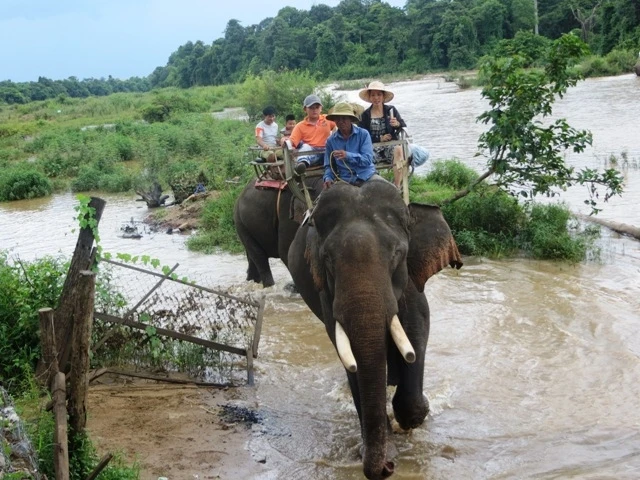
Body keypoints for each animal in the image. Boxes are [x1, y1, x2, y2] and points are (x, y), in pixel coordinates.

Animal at [288, 179, 462, 480]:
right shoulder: (326, 295)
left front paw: (418, 414)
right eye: (328, 259)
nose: (387, 469)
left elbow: (417, 332)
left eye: (397, 254)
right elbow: (350, 357)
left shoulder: (410, 282)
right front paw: (385, 451)